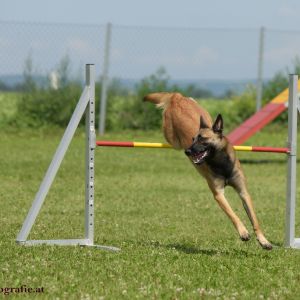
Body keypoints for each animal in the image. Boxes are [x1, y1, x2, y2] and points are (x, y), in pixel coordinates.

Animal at [144, 92, 274, 250]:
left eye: (202, 139)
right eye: (193, 139)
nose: (187, 151)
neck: (222, 164)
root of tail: (176, 96)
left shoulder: (243, 193)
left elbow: (255, 220)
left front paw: (263, 240)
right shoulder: (218, 194)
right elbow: (233, 214)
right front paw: (243, 232)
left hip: (205, 117)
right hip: (172, 139)